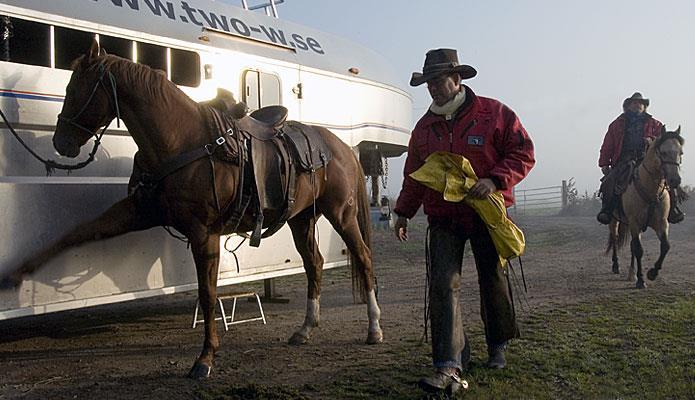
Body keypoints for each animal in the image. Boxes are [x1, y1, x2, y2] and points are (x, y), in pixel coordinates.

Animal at [0, 39, 386, 378]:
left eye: (78, 88)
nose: (60, 142)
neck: (180, 141)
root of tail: (342, 147)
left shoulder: (204, 233)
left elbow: (207, 292)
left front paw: (205, 358)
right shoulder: (139, 212)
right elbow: (77, 234)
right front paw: (15, 275)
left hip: (342, 214)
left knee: (364, 257)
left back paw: (373, 328)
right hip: (301, 219)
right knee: (314, 264)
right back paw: (305, 329)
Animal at [608, 127, 684, 288]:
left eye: (680, 153)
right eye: (663, 152)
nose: (675, 180)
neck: (650, 190)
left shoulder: (661, 223)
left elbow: (665, 246)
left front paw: (652, 273)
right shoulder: (634, 223)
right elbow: (639, 250)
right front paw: (641, 280)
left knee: (631, 244)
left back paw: (631, 273)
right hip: (614, 220)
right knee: (615, 238)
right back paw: (616, 266)